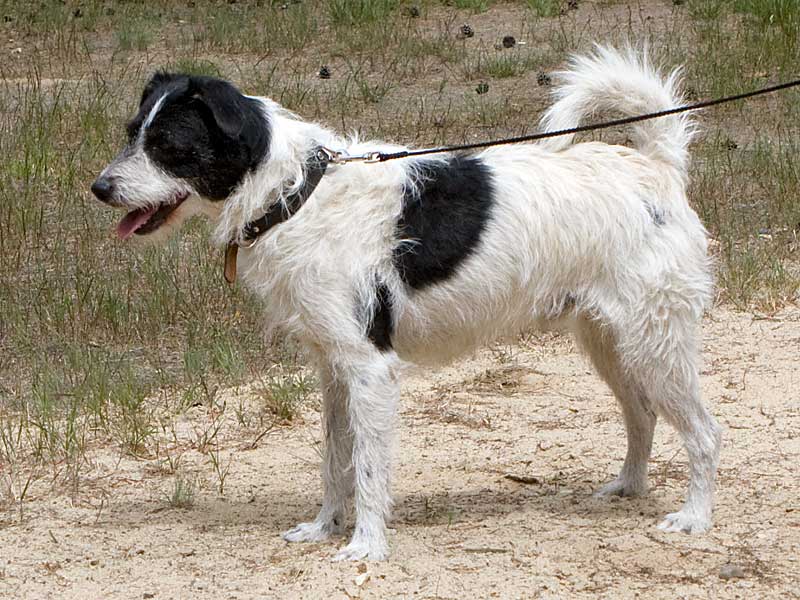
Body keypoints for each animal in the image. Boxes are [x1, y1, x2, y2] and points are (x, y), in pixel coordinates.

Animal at [92, 46, 722, 561]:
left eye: (168, 147)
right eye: (131, 133)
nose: (99, 188)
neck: (296, 193)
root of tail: (657, 167)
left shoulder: (369, 369)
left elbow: (369, 469)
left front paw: (366, 546)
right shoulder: (334, 369)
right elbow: (334, 461)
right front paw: (324, 528)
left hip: (655, 344)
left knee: (704, 433)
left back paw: (694, 517)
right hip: (610, 342)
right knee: (642, 415)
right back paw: (626, 488)